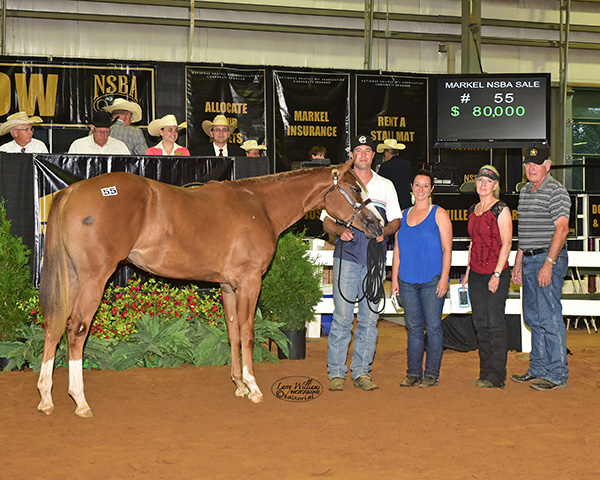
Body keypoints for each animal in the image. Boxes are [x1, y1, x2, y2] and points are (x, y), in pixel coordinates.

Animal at [38, 160, 384, 416]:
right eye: (355, 187)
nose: (378, 224)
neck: (260, 205)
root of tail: (72, 190)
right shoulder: (249, 282)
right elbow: (247, 332)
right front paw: (253, 387)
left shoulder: (228, 286)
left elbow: (232, 332)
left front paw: (239, 384)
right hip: (94, 278)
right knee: (76, 328)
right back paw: (80, 401)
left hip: (72, 278)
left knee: (54, 326)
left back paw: (46, 397)